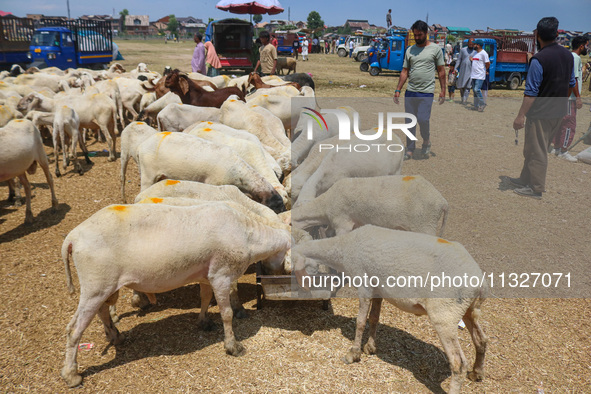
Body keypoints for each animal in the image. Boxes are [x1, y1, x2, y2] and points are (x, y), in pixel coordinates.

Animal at [60, 202, 292, 386]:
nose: (277, 274)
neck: (249, 236)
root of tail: (72, 238)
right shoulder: (221, 274)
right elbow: (227, 314)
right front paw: (233, 346)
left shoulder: (207, 275)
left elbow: (205, 299)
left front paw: (204, 322)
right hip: (95, 284)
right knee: (74, 329)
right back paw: (71, 375)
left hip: (103, 285)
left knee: (102, 312)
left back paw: (116, 336)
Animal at [294, 225, 488, 394]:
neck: (343, 248)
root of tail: (480, 282)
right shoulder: (378, 288)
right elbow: (374, 318)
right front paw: (370, 347)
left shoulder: (364, 284)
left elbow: (360, 321)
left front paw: (353, 354)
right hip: (470, 309)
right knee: (481, 340)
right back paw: (476, 373)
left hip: (445, 313)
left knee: (458, 363)